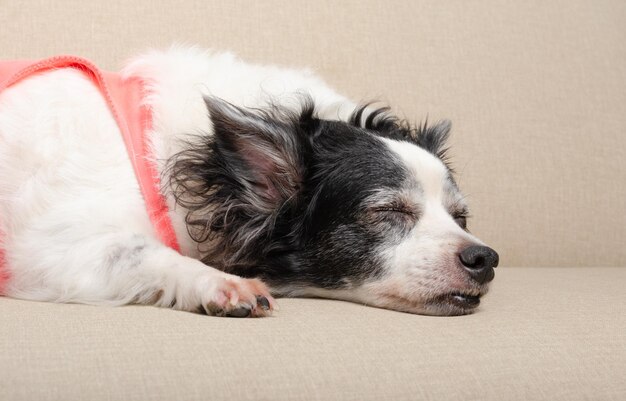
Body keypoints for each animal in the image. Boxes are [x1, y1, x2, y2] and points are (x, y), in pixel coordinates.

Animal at [1, 46, 498, 316]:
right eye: (388, 212)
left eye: (461, 217)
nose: (485, 257)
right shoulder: (49, 251)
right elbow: (143, 251)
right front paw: (221, 284)